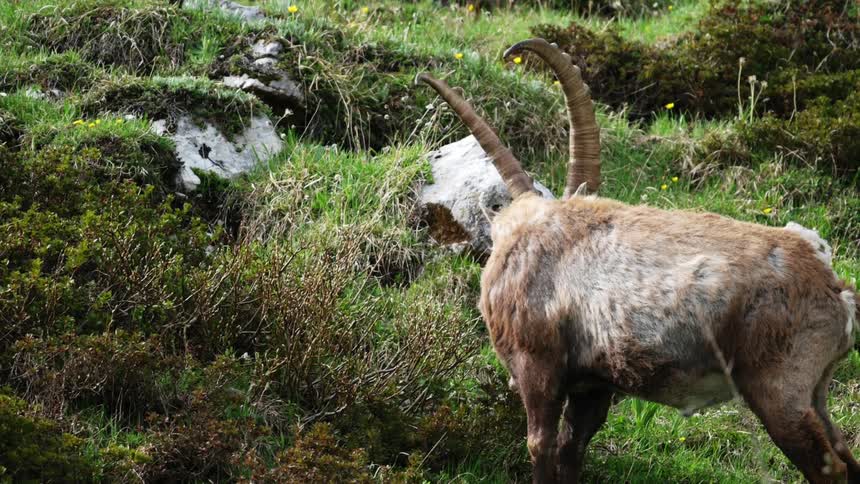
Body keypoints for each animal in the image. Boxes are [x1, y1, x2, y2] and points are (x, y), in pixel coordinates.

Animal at [416, 38, 859, 483]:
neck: (527, 232)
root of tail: (834, 289)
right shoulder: (592, 385)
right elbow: (571, 448)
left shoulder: (537, 365)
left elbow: (540, 445)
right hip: (815, 389)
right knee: (847, 455)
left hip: (780, 388)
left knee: (831, 467)